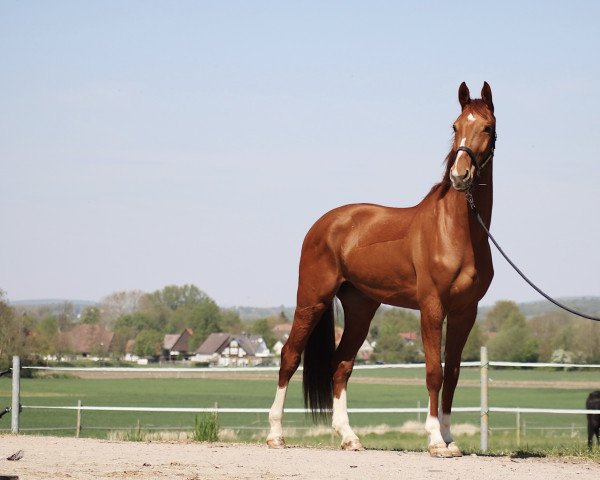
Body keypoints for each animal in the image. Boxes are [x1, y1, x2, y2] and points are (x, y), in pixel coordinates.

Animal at [268, 82, 496, 458]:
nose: (460, 175)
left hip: (361, 307)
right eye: (455, 126)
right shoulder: (432, 308)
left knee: (341, 365)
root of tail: (323, 224)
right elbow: (434, 372)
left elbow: (452, 373)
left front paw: (450, 439)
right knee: (289, 355)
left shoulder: (466, 311)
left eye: (487, 127)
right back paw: (275, 434)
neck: (456, 232)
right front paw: (435, 440)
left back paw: (349, 437)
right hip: (312, 299)